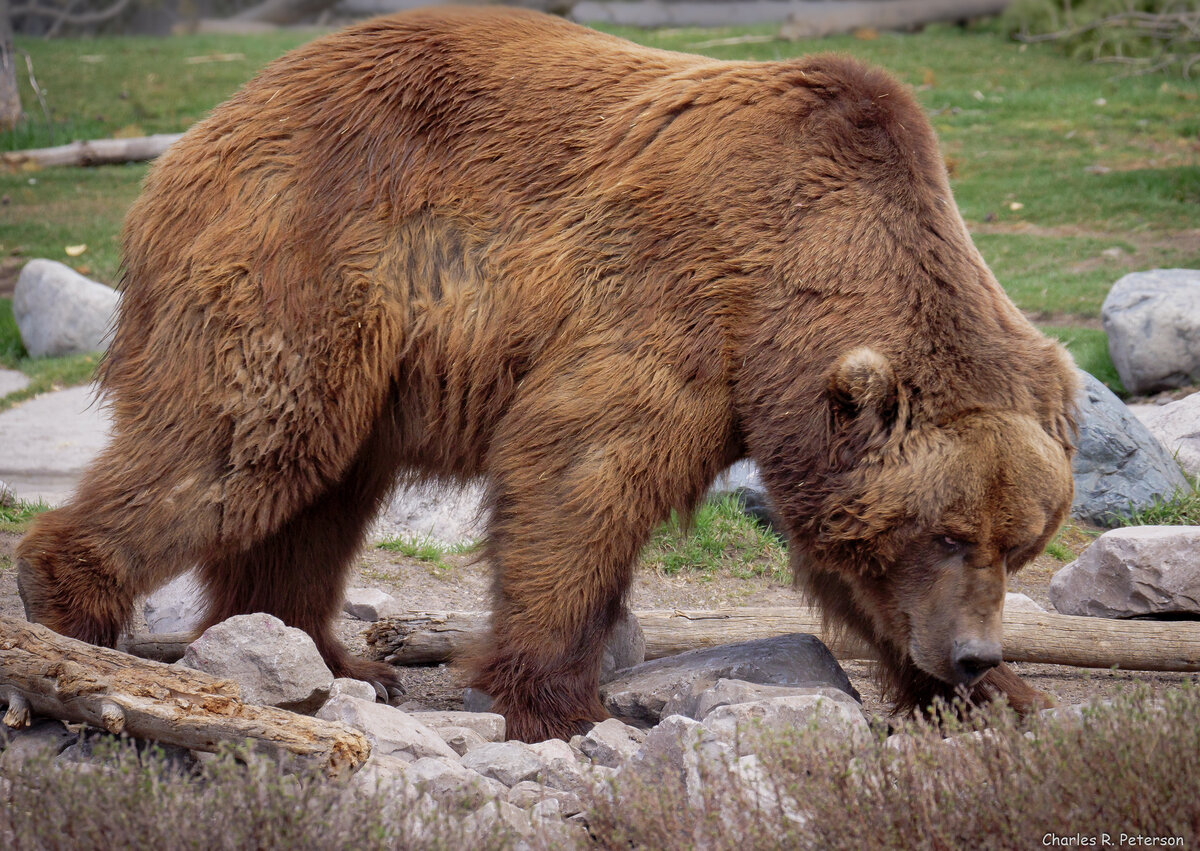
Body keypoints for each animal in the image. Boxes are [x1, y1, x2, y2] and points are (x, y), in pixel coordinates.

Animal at [14, 6, 1080, 739]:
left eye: (1019, 542)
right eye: (947, 532)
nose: (975, 649)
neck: (800, 269)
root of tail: (211, 124)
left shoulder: (791, 407)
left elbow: (841, 559)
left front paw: (1002, 694)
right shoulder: (683, 294)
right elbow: (581, 470)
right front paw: (563, 702)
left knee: (316, 494)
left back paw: (330, 654)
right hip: (305, 254)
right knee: (239, 446)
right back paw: (71, 606)